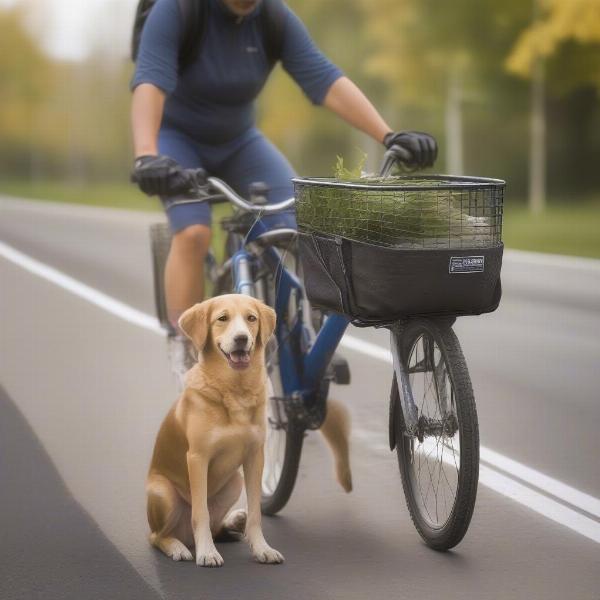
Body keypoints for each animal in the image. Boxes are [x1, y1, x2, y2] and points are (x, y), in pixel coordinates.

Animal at [146, 294, 352, 568]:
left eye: (251, 318)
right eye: (222, 318)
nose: (242, 338)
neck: (235, 391)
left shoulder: (255, 457)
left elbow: (256, 512)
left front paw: (262, 548)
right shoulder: (197, 458)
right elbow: (199, 512)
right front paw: (207, 552)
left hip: (234, 482)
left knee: (215, 524)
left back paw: (233, 521)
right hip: (163, 492)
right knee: (158, 536)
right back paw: (178, 547)